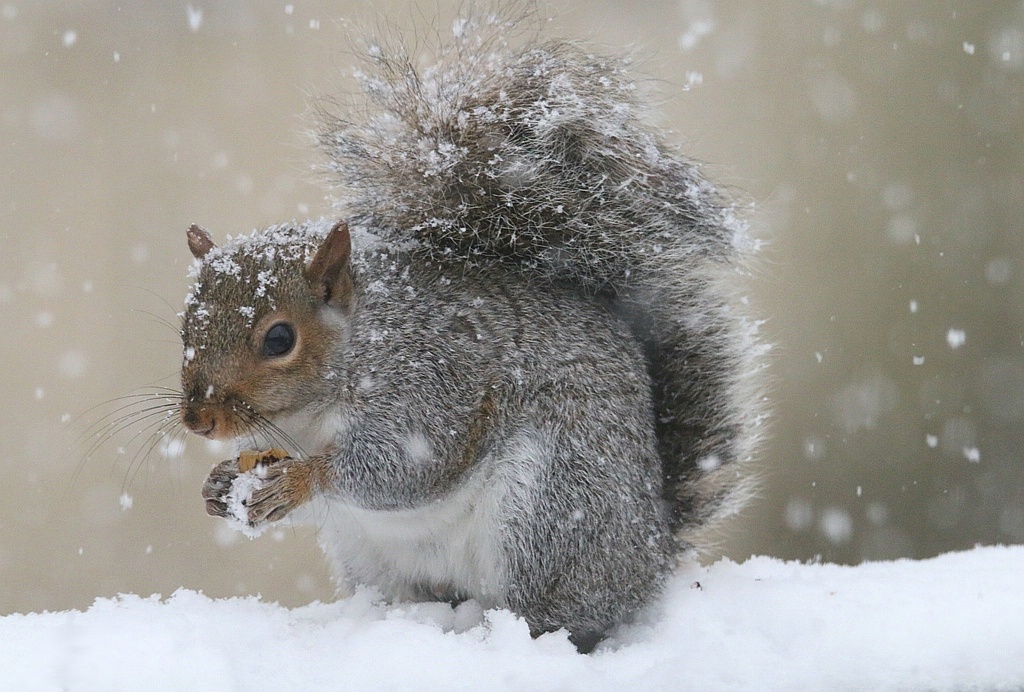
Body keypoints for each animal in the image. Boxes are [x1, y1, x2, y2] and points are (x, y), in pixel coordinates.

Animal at [180, 9, 765, 655]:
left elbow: (400, 469)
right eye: (186, 324)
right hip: (370, 553)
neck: (313, 412)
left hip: (549, 507)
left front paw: (302, 478)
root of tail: (652, 556)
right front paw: (218, 485)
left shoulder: (435, 382)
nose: (197, 420)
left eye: (279, 340)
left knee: (556, 614)